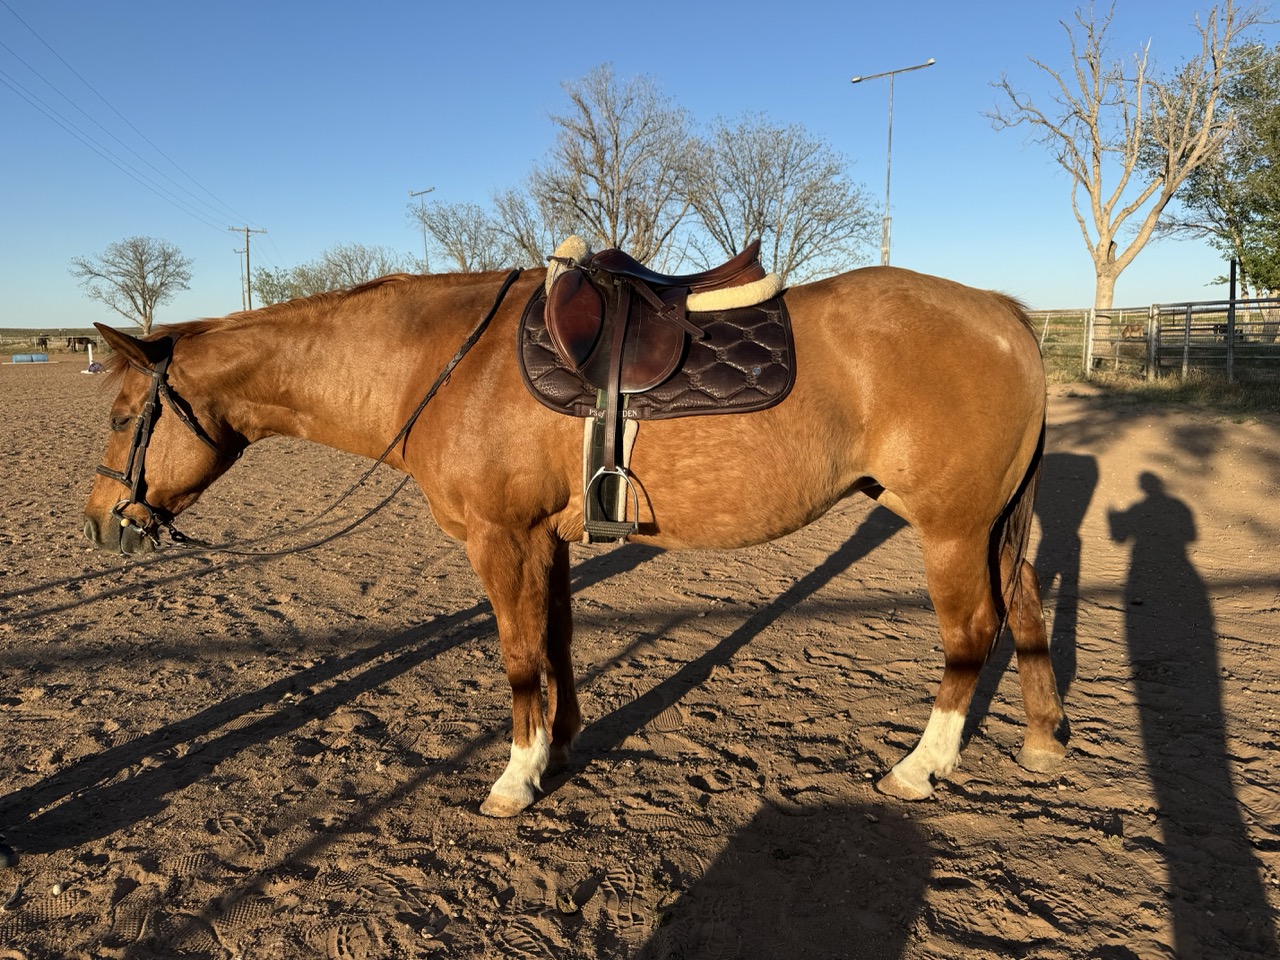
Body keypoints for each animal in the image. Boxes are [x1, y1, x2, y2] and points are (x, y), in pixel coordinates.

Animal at [81, 265, 1065, 817]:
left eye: (125, 415)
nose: (98, 522)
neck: (442, 362)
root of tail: (1001, 314)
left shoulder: (500, 538)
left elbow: (519, 656)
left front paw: (516, 779)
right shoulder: (542, 541)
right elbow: (553, 643)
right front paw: (559, 745)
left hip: (950, 530)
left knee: (970, 635)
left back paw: (920, 768)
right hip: (989, 527)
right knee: (1026, 606)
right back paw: (1042, 739)